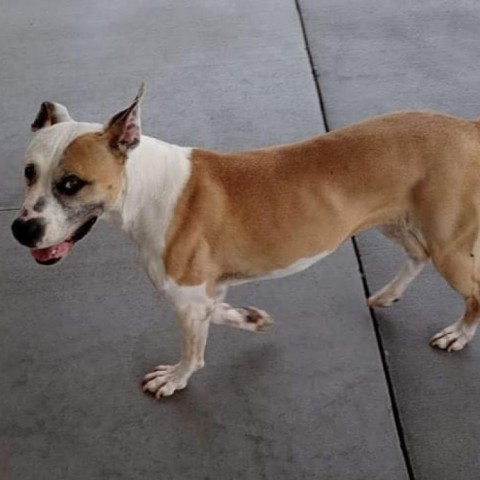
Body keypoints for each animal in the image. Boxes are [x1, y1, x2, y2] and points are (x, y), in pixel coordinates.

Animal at [11, 85, 480, 398]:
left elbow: (193, 350)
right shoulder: (200, 293)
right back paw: (387, 295)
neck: (144, 186)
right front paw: (250, 319)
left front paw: (176, 378)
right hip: (395, 220)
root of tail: (466, 126)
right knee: (417, 254)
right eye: (29, 171)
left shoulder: (186, 297)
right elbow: (218, 314)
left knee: (472, 292)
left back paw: (458, 334)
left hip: (450, 246)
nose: (21, 230)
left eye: (72, 183)